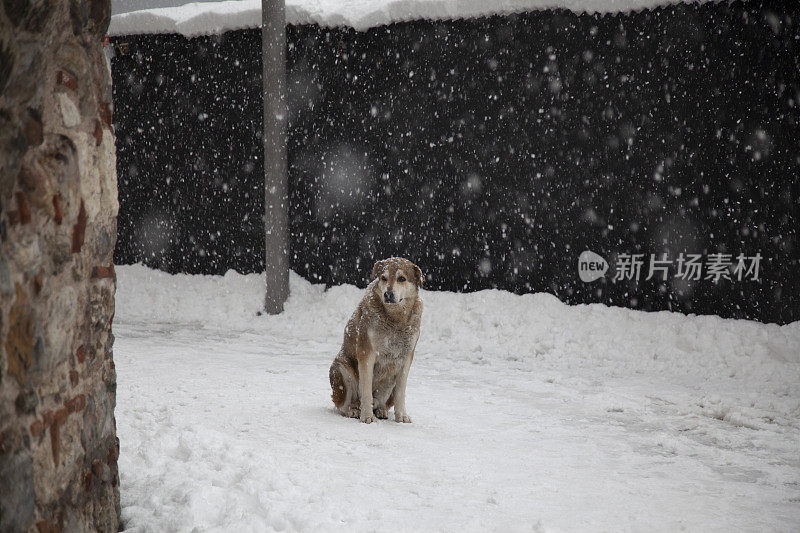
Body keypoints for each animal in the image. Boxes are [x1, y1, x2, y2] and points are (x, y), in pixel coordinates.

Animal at [328, 256, 424, 422]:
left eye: (401, 278)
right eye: (384, 278)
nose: (388, 294)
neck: (395, 319)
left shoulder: (406, 357)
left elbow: (401, 392)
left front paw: (401, 416)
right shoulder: (367, 353)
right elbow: (366, 390)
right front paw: (367, 416)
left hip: (389, 382)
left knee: (381, 401)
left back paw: (380, 410)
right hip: (341, 369)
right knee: (343, 405)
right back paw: (354, 411)